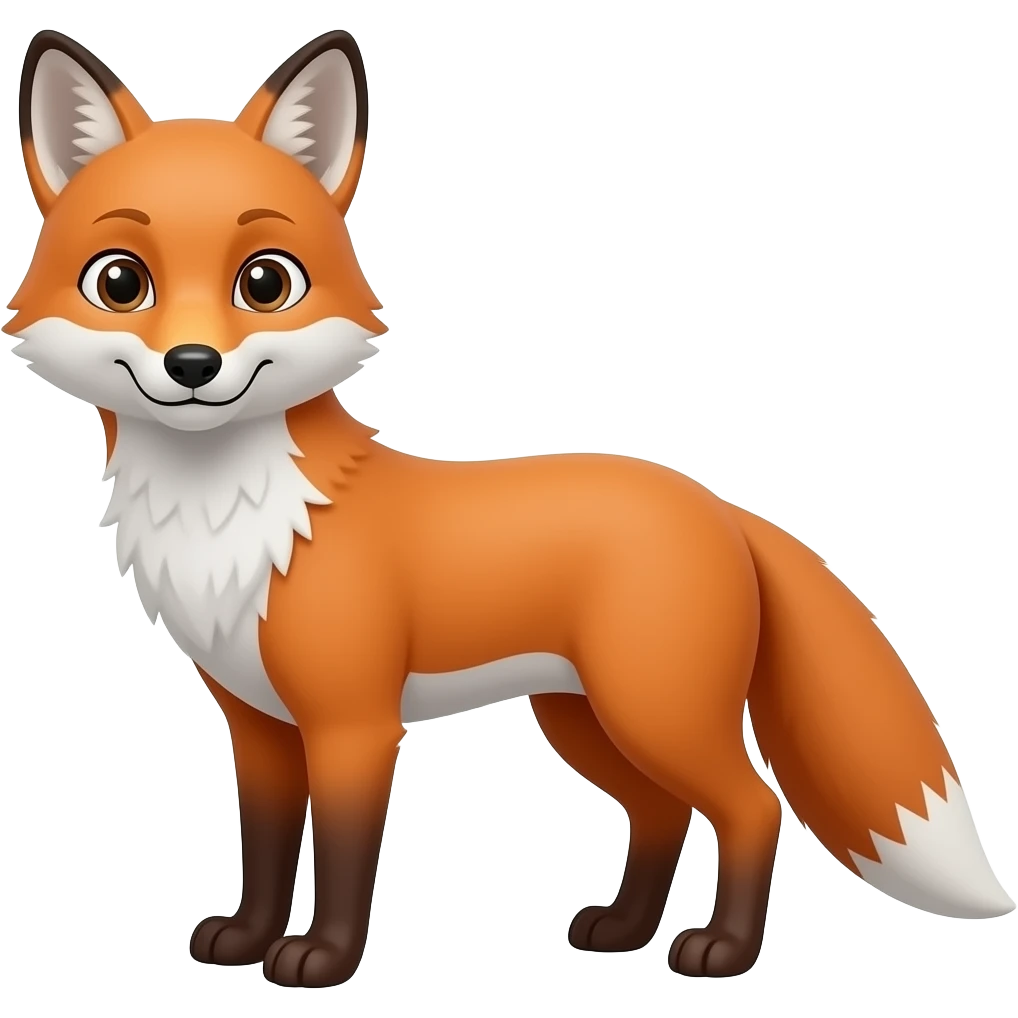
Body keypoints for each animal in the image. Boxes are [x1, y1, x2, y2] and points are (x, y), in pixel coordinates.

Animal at [7, 27, 1014, 990]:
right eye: (120, 282)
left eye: (265, 282)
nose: (192, 366)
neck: (238, 522)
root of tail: (719, 502)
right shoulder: (255, 724)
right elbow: (263, 846)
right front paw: (247, 941)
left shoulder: (354, 724)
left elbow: (343, 857)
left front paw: (322, 961)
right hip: (583, 720)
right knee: (663, 813)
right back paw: (622, 932)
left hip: (655, 712)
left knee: (750, 806)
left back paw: (720, 952)